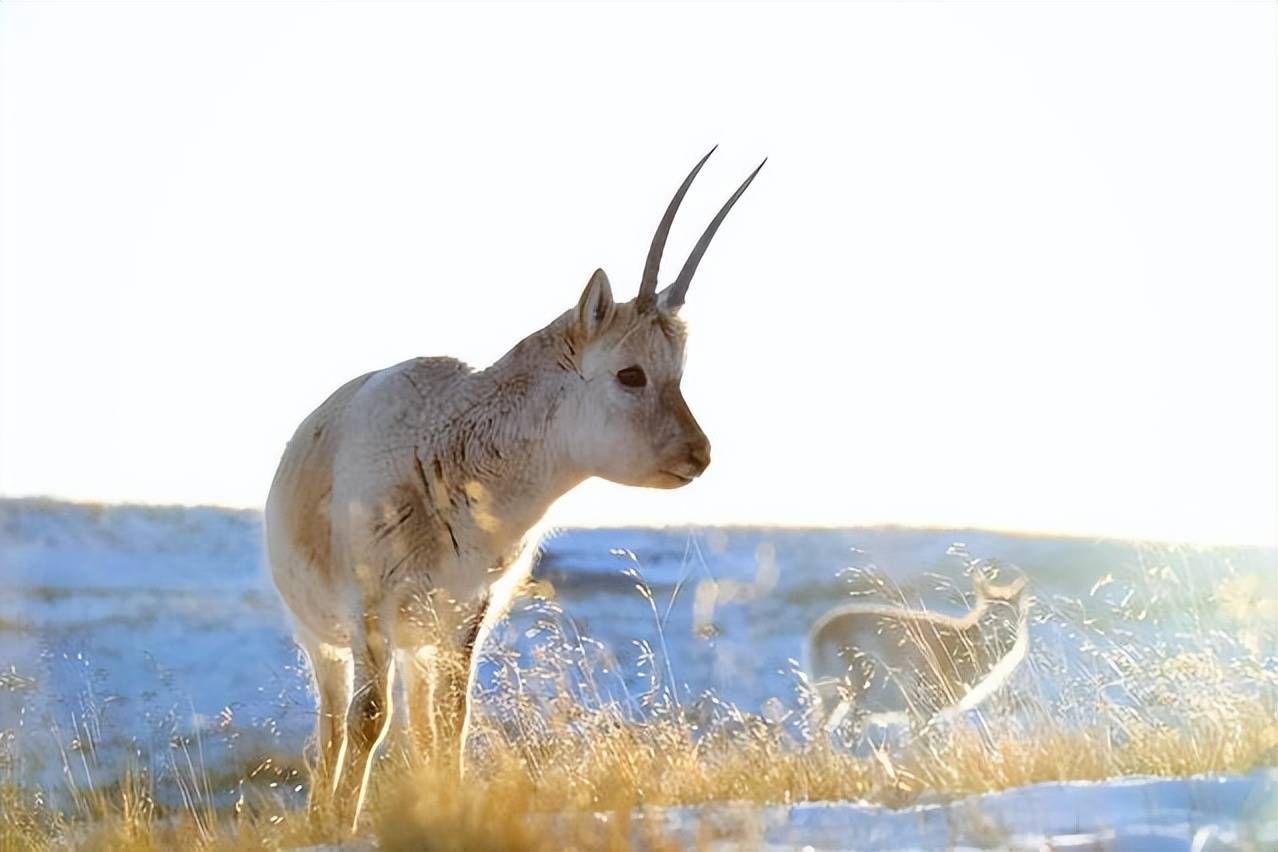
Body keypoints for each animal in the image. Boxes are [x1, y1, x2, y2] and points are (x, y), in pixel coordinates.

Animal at [259, 148, 756, 827]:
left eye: (678, 373)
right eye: (630, 374)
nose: (697, 455)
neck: (446, 446)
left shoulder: (466, 614)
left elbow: (452, 723)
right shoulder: (369, 610)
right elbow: (367, 721)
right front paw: (342, 825)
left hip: (420, 642)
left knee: (417, 721)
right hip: (326, 639)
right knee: (334, 725)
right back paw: (320, 810)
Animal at [812, 569, 1032, 730]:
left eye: (1013, 616)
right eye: (990, 616)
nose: (1006, 638)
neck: (964, 641)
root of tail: (821, 630)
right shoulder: (922, 711)